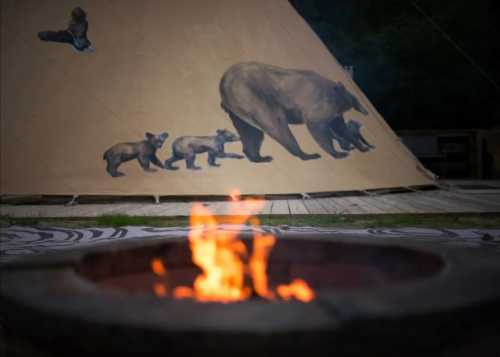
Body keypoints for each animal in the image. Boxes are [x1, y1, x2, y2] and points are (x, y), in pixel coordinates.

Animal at [221, 61, 370, 161]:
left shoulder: (335, 114)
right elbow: (319, 128)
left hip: (241, 112)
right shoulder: (320, 107)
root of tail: (224, 86)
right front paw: (337, 152)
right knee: (278, 128)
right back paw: (307, 154)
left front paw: (359, 146)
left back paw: (260, 157)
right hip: (257, 99)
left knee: (252, 134)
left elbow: (340, 129)